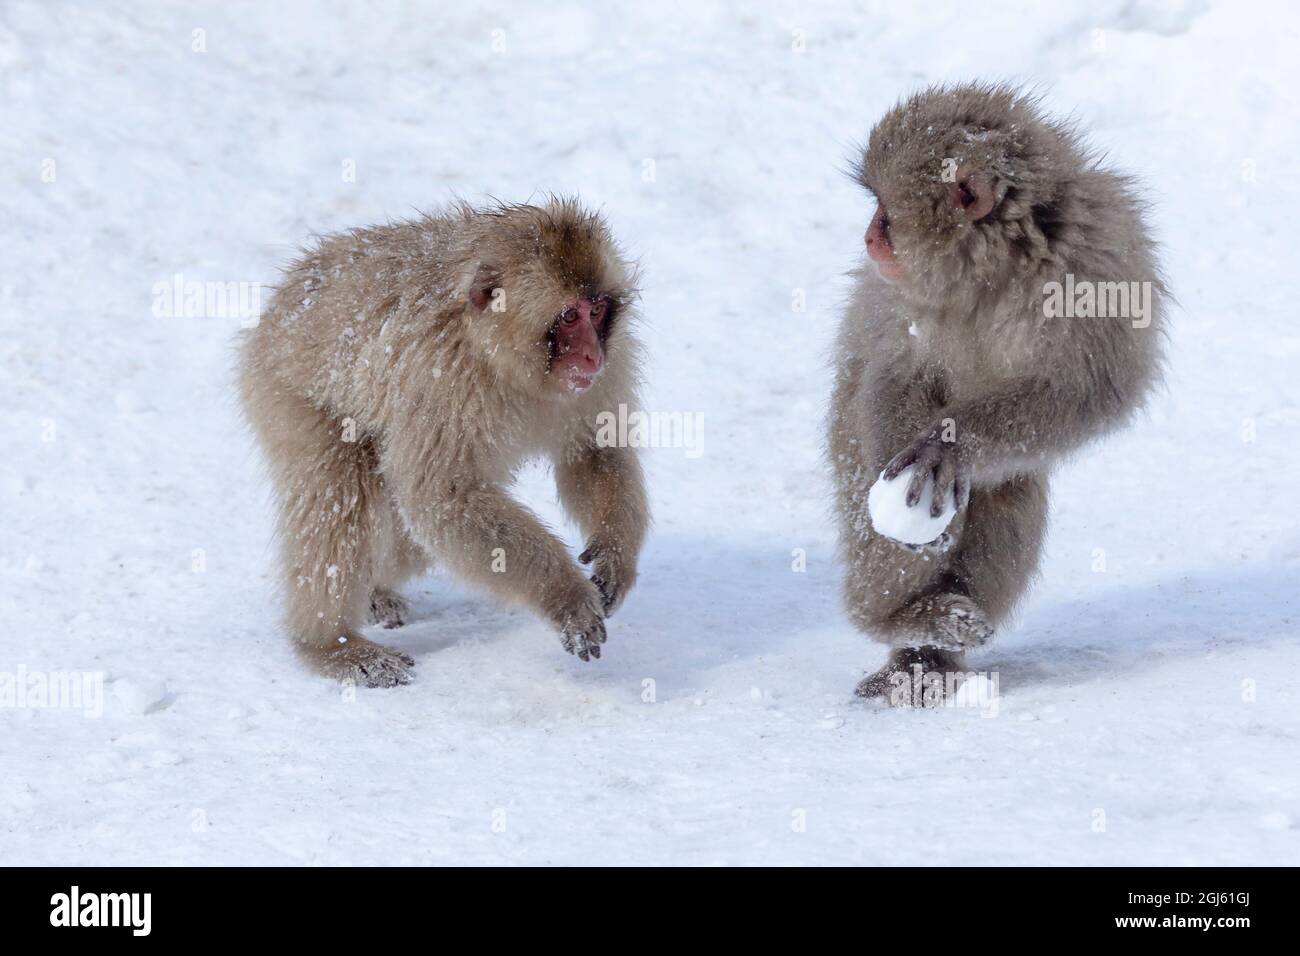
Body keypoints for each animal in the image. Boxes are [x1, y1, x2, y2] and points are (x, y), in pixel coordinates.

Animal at [239, 196, 644, 686]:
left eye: (598, 310)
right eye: (569, 316)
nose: (590, 356)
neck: (499, 359)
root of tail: (280, 304)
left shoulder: (610, 367)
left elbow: (595, 450)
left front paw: (615, 555)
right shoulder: (442, 378)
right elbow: (442, 497)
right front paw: (566, 596)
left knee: (406, 540)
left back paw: (374, 591)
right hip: (285, 394)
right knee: (341, 499)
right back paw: (331, 646)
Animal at [832, 83, 1170, 702]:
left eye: (885, 212)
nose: (868, 238)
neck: (993, 264)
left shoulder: (1100, 260)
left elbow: (1085, 391)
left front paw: (951, 444)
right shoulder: (901, 294)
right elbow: (893, 371)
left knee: (1012, 494)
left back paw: (928, 648)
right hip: (844, 442)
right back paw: (897, 619)